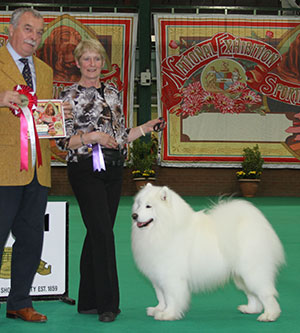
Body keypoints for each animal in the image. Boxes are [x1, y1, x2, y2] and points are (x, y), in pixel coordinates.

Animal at [132, 183, 286, 320]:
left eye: (148, 206)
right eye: (139, 204)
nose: (134, 215)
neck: (163, 229)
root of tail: (256, 224)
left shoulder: (171, 277)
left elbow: (171, 297)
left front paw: (168, 314)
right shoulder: (157, 276)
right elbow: (161, 296)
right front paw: (158, 310)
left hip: (252, 272)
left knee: (266, 294)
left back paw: (269, 315)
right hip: (241, 276)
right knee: (252, 294)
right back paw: (251, 309)